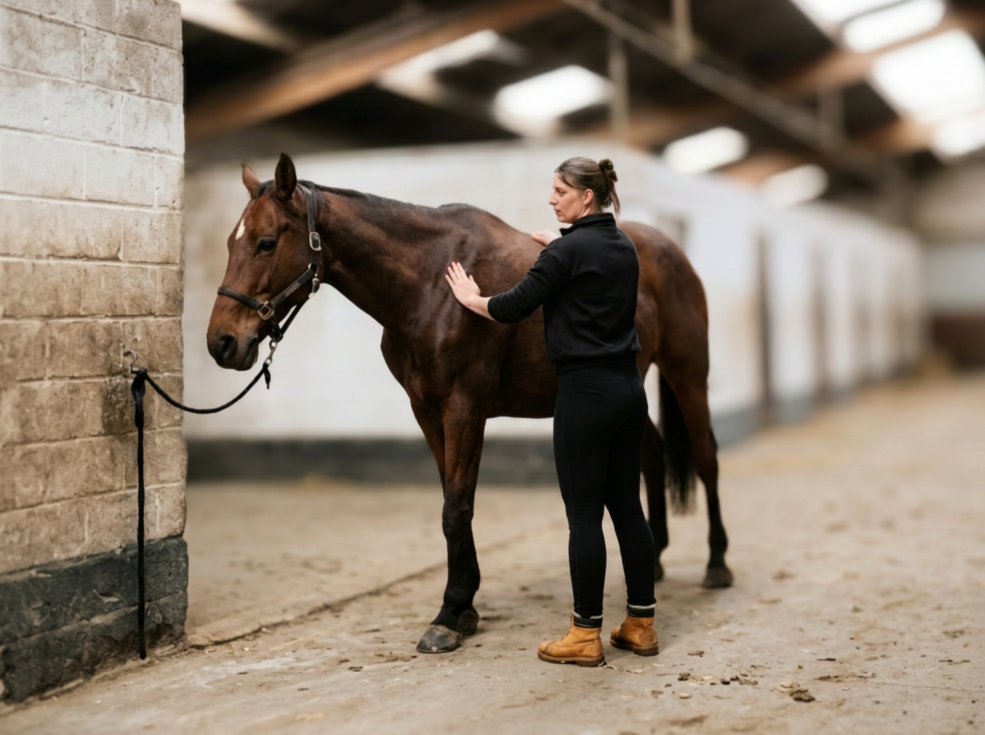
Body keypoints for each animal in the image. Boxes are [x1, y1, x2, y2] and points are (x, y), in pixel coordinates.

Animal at [206, 153, 731, 654]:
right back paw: (655, 560)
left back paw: (717, 564)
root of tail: (668, 249)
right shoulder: (426, 411)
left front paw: (448, 615)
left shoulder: (464, 408)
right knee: (652, 455)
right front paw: (465, 609)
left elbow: (456, 507)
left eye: (266, 242)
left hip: (687, 373)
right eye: (230, 243)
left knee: (705, 457)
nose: (221, 343)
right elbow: (451, 500)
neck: (428, 285)